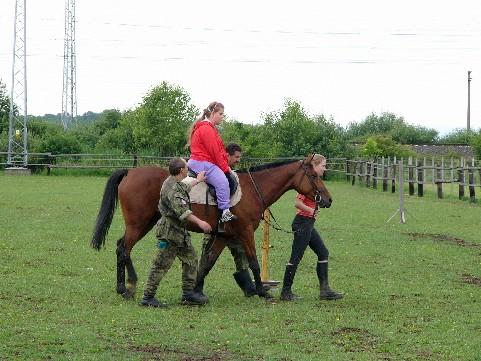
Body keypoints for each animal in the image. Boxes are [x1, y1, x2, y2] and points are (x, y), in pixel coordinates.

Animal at [90, 155, 332, 298]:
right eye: (313, 175)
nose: (328, 199)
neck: (253, 189)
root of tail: (131, 171)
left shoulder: (224, 236)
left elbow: (208, 262)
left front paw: (196, 290)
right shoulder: (245, 233)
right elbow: (253, 261)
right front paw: (262, 290)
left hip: (146, 223)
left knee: (122, 247)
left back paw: (123, 286)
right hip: (138, 223)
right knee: (124, 248)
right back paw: (128, 286)